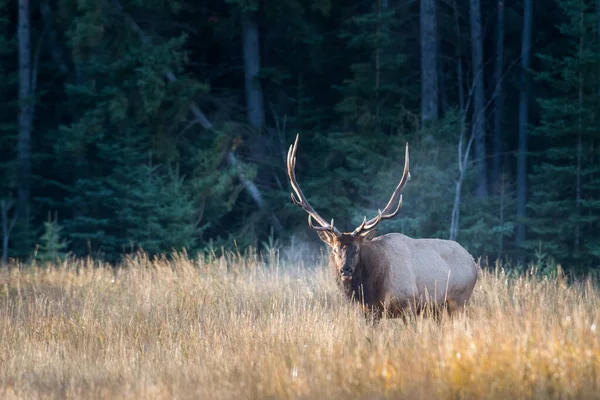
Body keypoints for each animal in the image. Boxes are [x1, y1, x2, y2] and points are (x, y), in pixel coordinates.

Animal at [286, 134, 478, 322]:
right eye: (334, 249)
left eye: (357, 249)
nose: (345, 270)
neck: (372, 289)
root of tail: (473, 262)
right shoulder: (369, 312)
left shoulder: (409, 304)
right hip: (440, 310)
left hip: (459, 301)